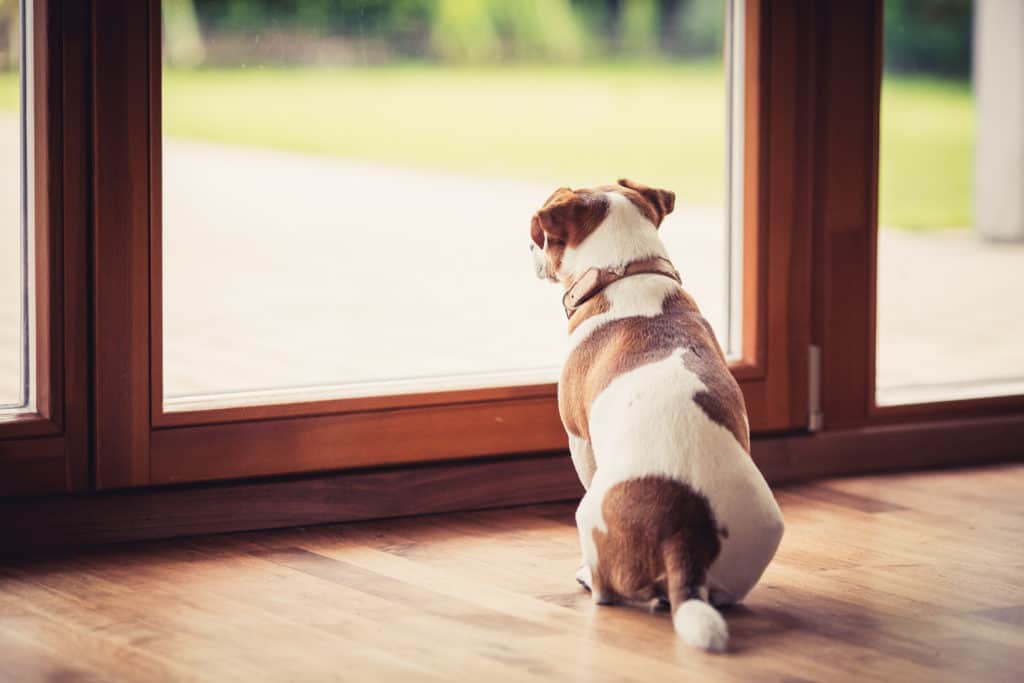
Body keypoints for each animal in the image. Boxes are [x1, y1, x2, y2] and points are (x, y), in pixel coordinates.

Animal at [528, 178, 782, 651]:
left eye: (540, 236)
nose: (527, 248)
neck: (628, 269)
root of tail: (685, 533)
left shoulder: (579, 439)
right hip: (764, 530)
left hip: (589, 515)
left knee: (608, 591)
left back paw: (590, 579)